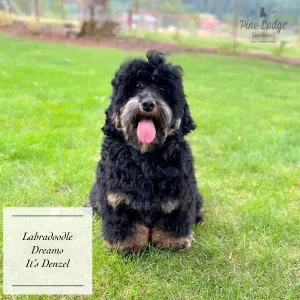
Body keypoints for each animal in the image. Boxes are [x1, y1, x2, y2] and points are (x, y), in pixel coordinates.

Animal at [89, 51, 204, 253]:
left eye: (163, 88)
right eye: (135, 86)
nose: (148, 104)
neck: (145, 156)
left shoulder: (180, 196)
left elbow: (173, 221)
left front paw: (173, 241)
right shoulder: (116, 197)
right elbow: (124, 224)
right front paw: (126, 244)